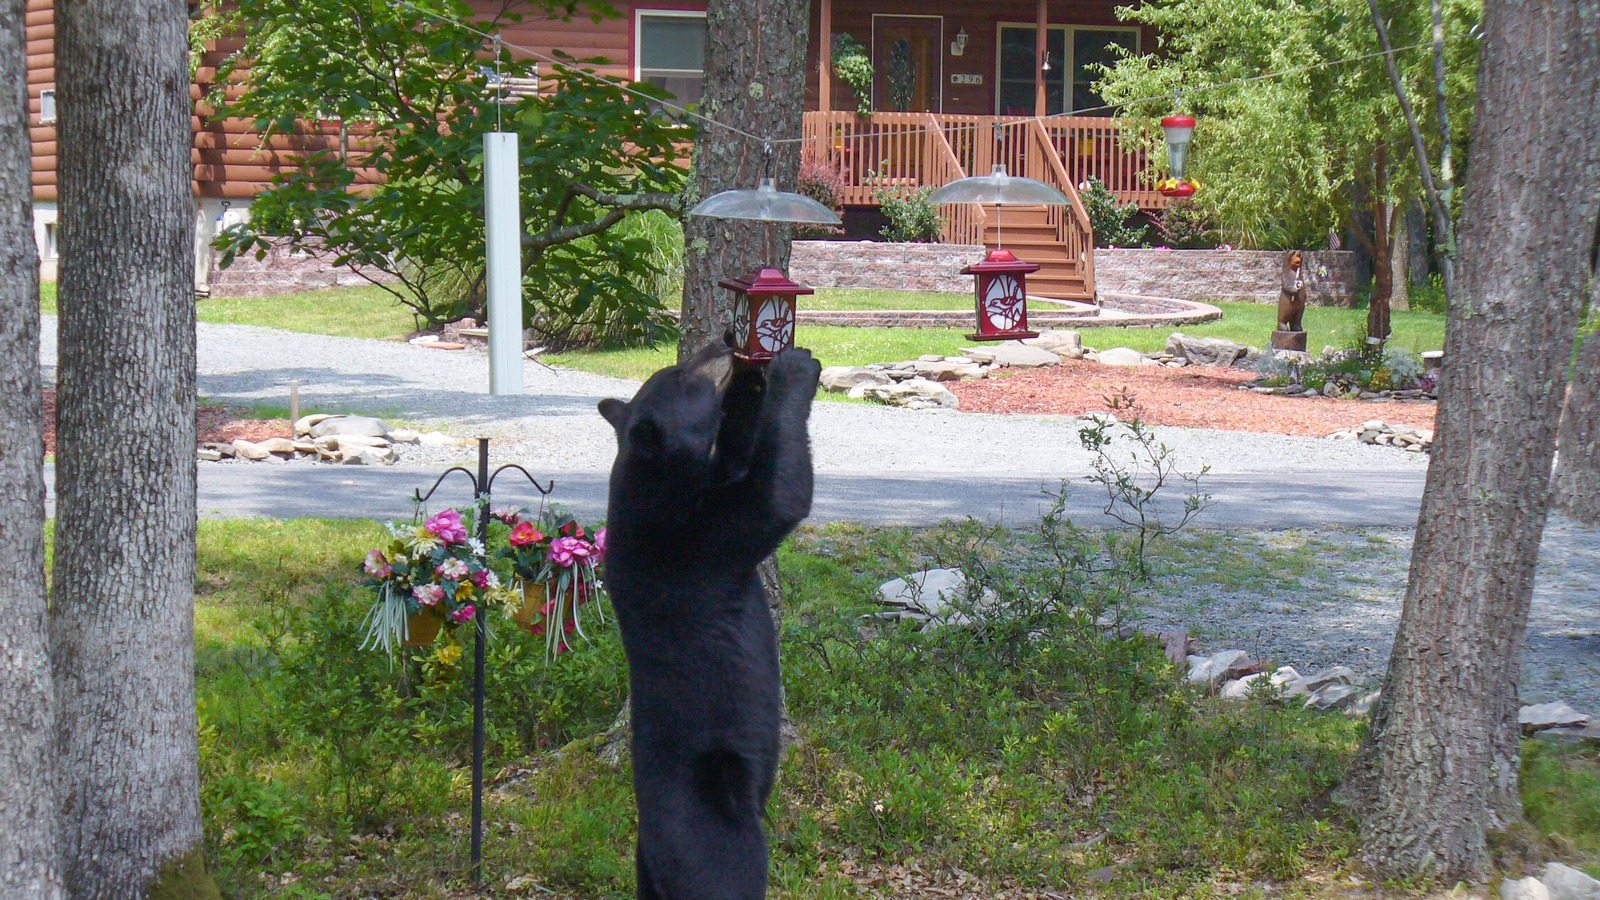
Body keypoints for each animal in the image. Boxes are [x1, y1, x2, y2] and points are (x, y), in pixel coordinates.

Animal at [597, 343, 821, 900]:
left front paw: (750, 383)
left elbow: (739, 460)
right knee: (731, 868)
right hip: (713, 821)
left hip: (647, 870)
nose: (719, 346)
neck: (652, 477)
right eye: (684, 376)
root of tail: (656, 851)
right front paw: (791, 368)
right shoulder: (690, 535)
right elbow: (773, 496)